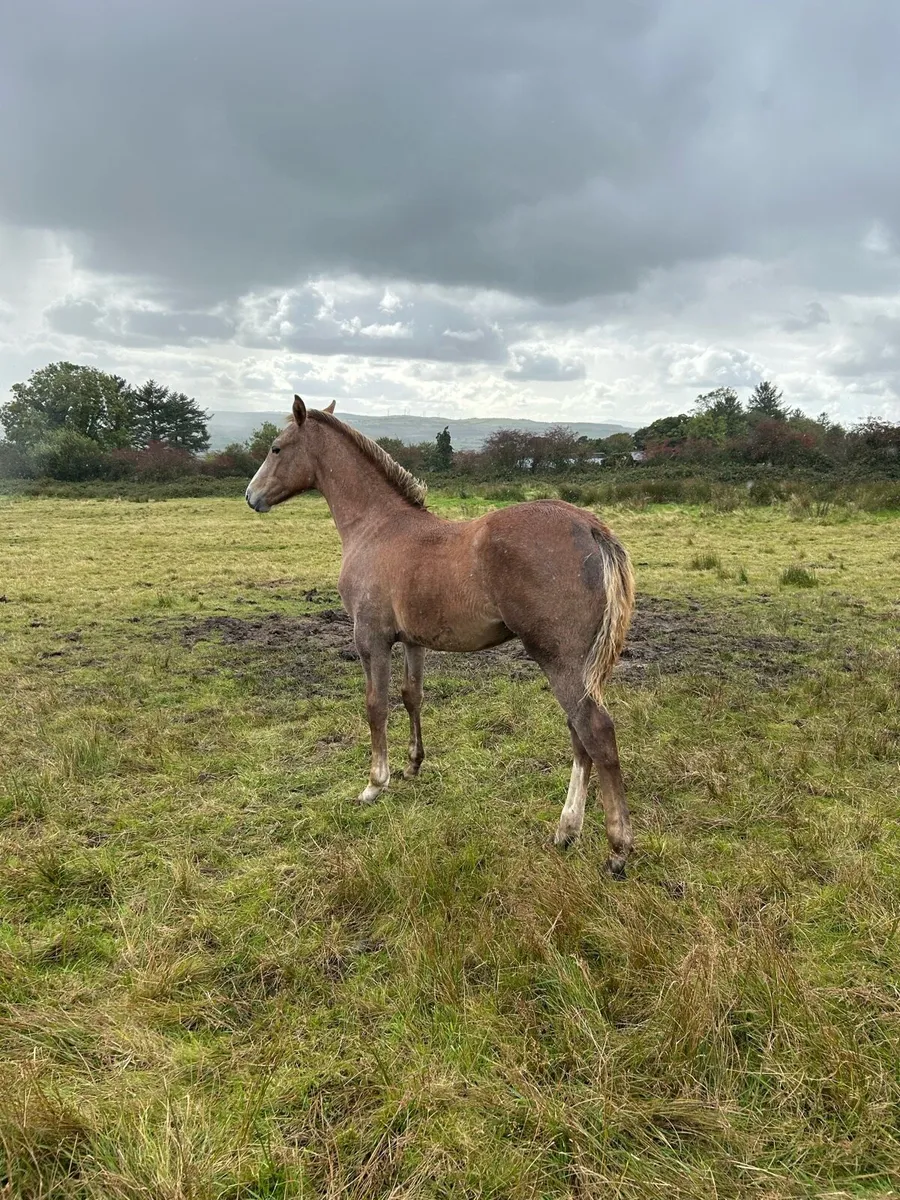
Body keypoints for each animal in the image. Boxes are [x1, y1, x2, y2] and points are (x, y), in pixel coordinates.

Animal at [246, 397, 637, 875]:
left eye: (276, 448)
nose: (251, 496)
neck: (376, 527)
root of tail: (590, 526)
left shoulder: (370, 638)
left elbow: (376, 706)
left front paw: (375, 784)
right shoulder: (413, 640)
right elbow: (412, 696)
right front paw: (413, 765)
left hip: (559, 658)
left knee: (594, 732)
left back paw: (616, 849)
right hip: (582, 666)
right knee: (580, 735)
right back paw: (566, 831)